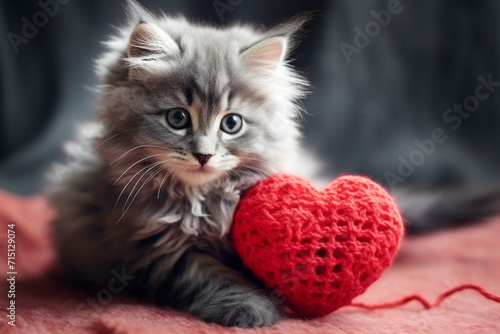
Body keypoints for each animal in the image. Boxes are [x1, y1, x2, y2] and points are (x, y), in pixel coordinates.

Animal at [48, 0, 310, 328]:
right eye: (177, 118)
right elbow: (211, 277)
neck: (200, 200)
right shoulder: (160, 247)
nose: (204, 155)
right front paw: (249, 307)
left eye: (232, 123)